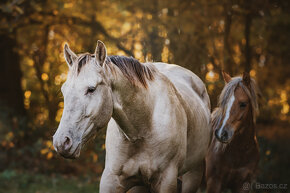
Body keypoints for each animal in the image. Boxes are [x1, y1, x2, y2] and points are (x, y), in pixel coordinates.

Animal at [52, 41, 211, 193]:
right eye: (64, 90)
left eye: (91, 89)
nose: (62, 142)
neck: (143, 128)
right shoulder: (111, 179)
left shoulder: (166, 181)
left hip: (194, 174)